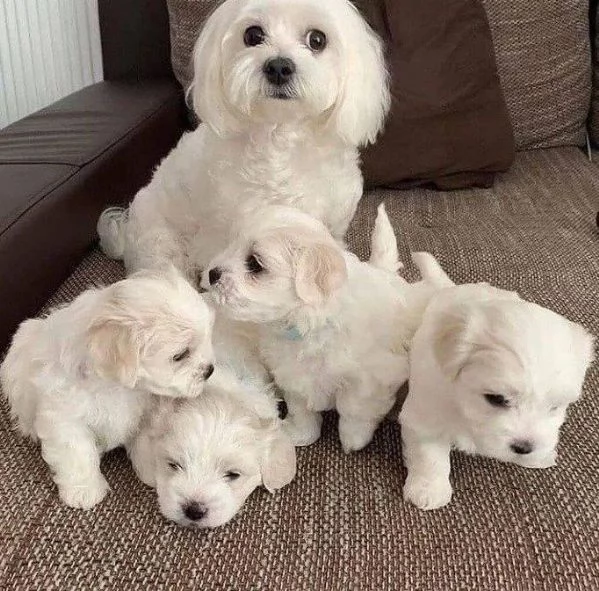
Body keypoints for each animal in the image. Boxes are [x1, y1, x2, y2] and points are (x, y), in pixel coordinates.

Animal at [0, 270, 216, 512]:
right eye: (180, 355)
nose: (210, 370)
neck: (115, 386)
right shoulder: (65, 418)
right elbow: (76, 452)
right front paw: (83, 490)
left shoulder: (146, 414)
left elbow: (145, 442)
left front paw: (154, 472)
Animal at [97, 0, 390, 276]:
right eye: (253, 35)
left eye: (317, 40)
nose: (279, 67)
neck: (282, 139)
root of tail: (125, 236)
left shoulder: (329, 226)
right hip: (161, 244)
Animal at [398, 256, 596, 512]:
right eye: (497, 399)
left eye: (555, 407)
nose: (524, 447)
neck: (463, 405)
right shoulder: (426, 411)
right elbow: (429, 453)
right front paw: (429, 489)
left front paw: (538, 456)